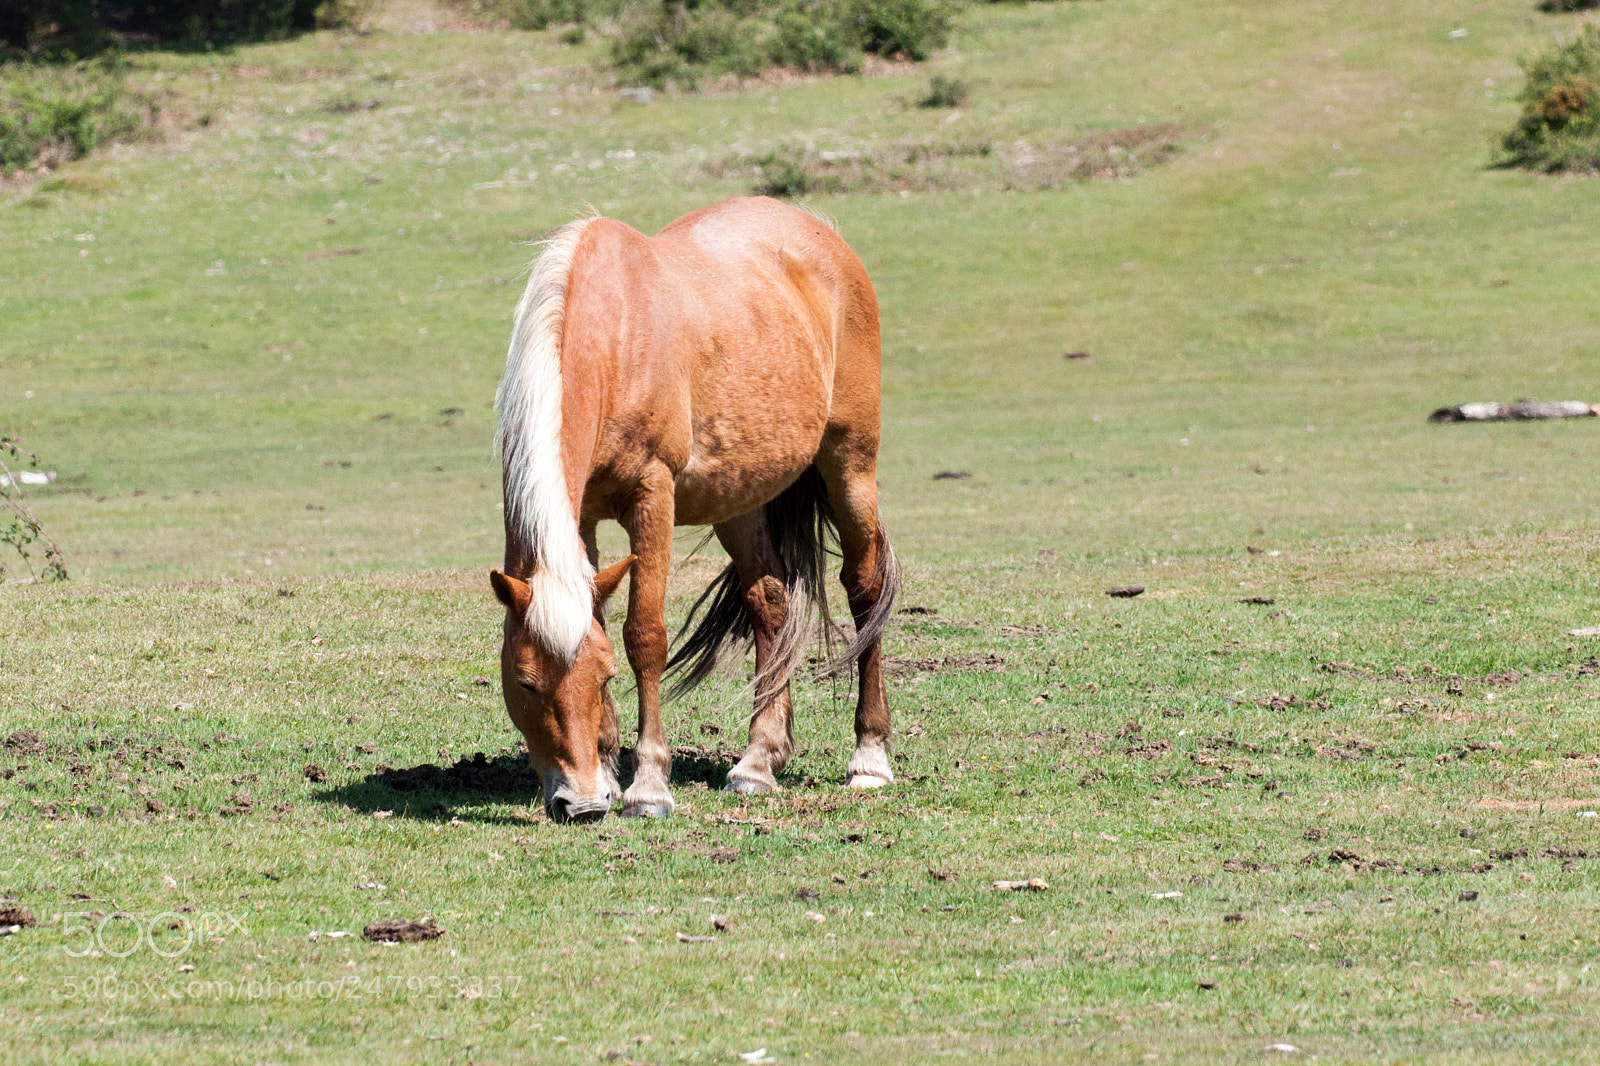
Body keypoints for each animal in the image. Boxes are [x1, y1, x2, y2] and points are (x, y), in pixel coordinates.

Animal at [488, 196, 900, 823]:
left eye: (605, 676)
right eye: (525, 681)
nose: (579, 804)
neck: (613, 339)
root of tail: (824, 236)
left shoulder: (652, 495)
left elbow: (645, 635)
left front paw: (648, 787)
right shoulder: (581, 517)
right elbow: (601, 616)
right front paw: (609, 772)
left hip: (849, 465)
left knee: (865, 590)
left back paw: (870, 758)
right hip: (742, 499)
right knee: (770, 602)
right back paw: (757, 763)